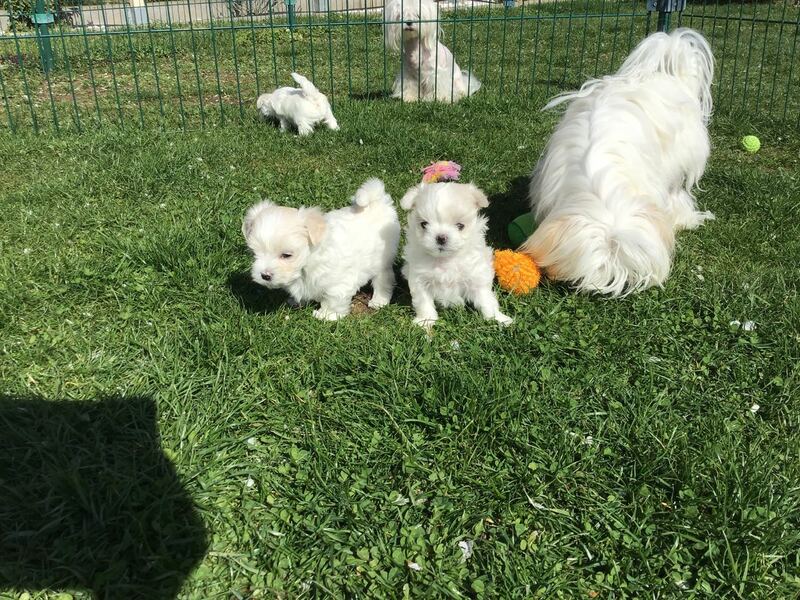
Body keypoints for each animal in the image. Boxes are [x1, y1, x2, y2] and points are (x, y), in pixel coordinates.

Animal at [242, 179, 400, 320]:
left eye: (287, 255)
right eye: (255, 253)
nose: (265, 275)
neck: (309, 259)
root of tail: (378, 201)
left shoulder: (338, 282)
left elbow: (333, 299)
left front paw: (327, 315)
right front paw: (296, 301)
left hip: (381, 259)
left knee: (384, 278)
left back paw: (379, 300)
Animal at [400, 181, 512, 328]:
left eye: (460, 225)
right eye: (424, 224)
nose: (441, 237)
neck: (446, 260)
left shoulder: (477, 277)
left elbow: (486, 300)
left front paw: (498, 319)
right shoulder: (420, 280)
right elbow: (423, 302)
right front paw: (426, 321)